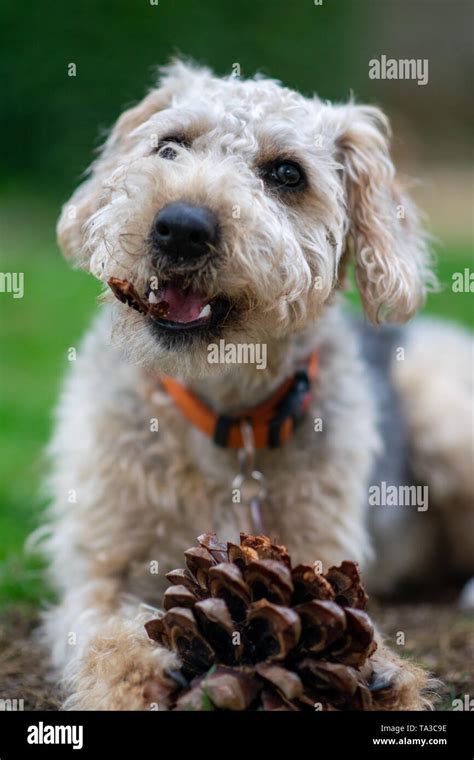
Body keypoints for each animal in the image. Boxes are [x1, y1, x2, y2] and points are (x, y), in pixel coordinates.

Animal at [42, 62, 472, 708]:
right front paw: (138, 674)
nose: (180, 227)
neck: (227, 412)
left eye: (287, 174)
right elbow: (101, 629)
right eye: (169, 145)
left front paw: (381, 673)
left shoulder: (317, 551)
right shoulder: (99, 560)